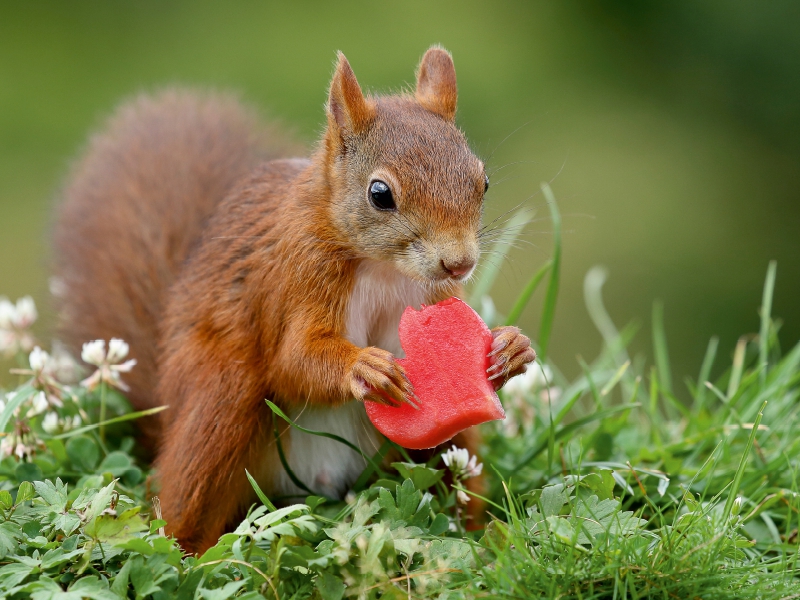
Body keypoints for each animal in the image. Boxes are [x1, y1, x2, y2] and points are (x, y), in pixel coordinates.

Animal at [53, 47, 536, 552]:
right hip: (220, 400)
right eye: (380, 194)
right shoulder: (297, 278)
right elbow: (293, 360)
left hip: (448, 449)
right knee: (181, 505)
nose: (459, 263)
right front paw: (363, 367)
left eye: (482, 181)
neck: (384, 267)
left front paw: (511, 348)